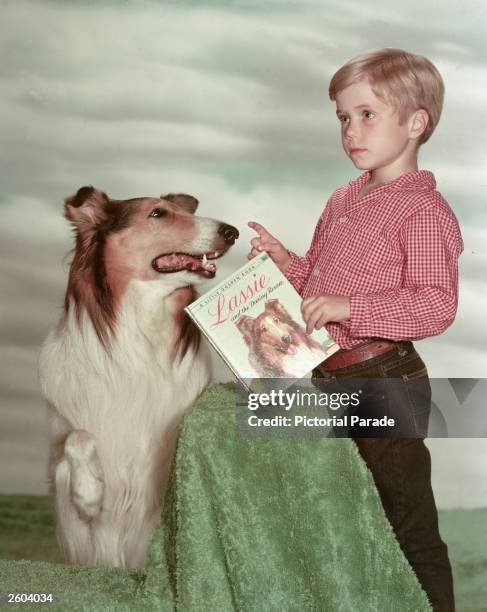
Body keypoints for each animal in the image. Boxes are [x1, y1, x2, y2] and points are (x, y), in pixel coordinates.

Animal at [38, 188, 238, 568]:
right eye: (158, 213)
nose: (232, 231)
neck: (140, 331)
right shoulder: (58, 444)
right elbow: (77, 438)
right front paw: (89, 494)